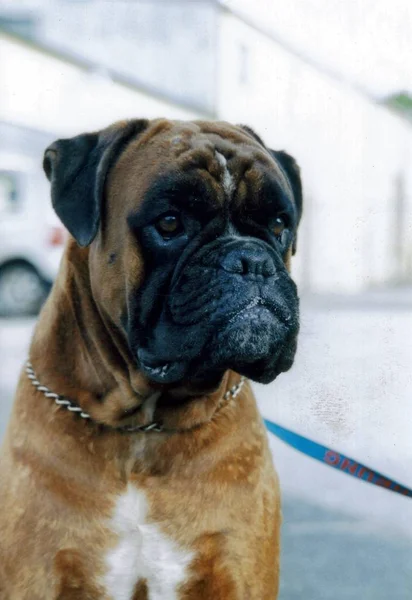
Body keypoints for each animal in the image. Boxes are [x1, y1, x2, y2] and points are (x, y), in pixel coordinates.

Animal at [0, 118, 302, 600]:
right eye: (170, 222)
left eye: (278, 224)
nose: (252, 260)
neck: (144, 426)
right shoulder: (40, 575)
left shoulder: (235, 572)